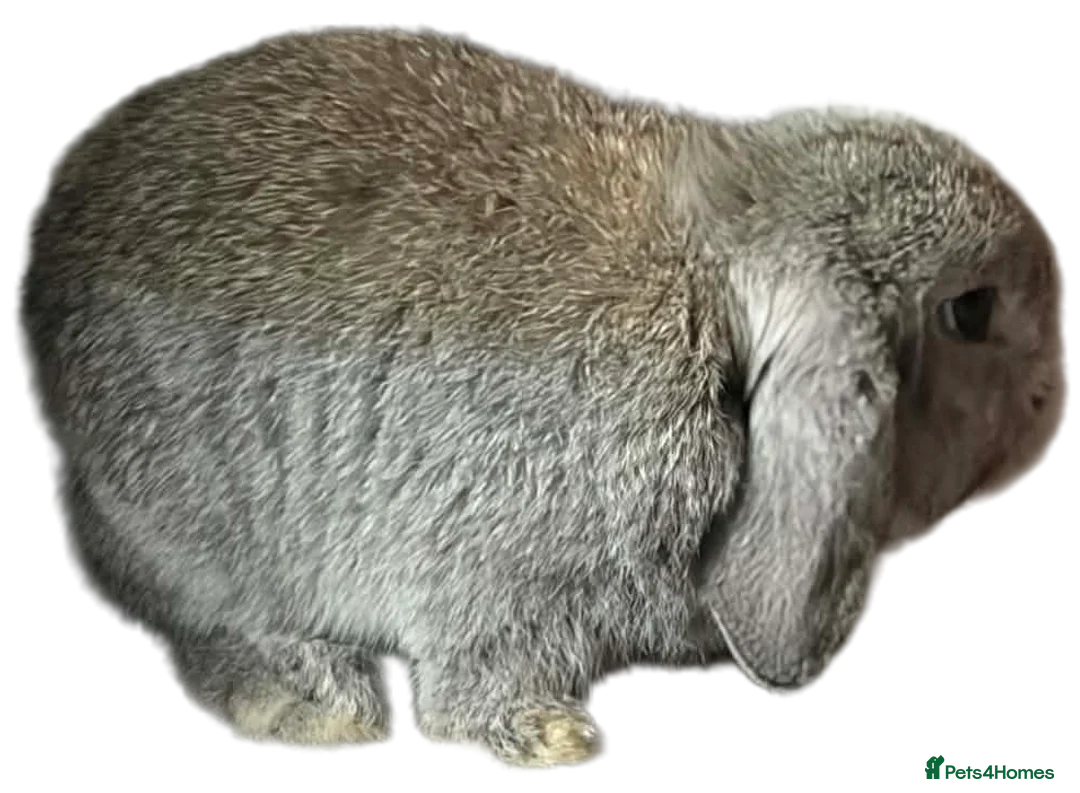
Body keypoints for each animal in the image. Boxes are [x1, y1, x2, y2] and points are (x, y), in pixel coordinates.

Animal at [14, 25, 1069, 772]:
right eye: (971, 312)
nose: (1052, 406)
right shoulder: (502, 569)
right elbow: (475, 678)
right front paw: (554, 740)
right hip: (181, 523)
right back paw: (316, 705)